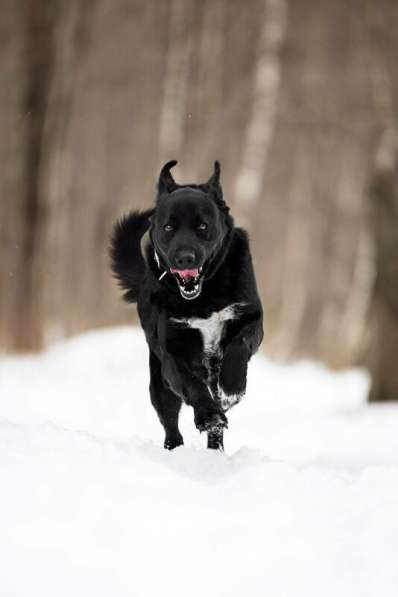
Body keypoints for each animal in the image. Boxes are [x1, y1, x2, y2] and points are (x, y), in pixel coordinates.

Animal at [110, 161, 262, 450]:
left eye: (202, 226)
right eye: (168, 227)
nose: (184, 258)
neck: (205, 296)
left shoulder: (250, 318)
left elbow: (239, 346)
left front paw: (232, 388)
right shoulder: (174, 351)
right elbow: (193, 386)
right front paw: (208, 415)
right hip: (159, 382)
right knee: (170, 422)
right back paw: (177, 447)